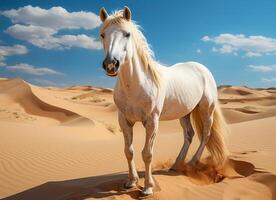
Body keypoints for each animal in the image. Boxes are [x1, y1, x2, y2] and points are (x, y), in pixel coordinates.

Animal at [99, 6, 229, 197]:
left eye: (127, 34)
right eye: (102, 35)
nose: (111, 64)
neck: (135, 85)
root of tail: (202, 68)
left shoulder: (152, 122)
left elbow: (147, 154)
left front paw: (148, 187)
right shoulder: (124, 120)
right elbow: (129, 151)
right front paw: (131, 181)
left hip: (206, 109)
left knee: (205, 134)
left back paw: (192, 162)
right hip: (185, 113)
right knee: (189, 135)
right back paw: (176, 165)